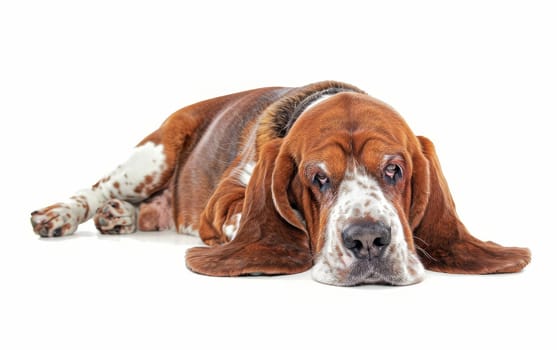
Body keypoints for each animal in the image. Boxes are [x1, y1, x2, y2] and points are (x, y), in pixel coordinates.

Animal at [29, 82, 528, 288]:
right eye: (317, 177)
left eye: (394, 170)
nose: (368, 240)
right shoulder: (222, 202)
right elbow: (239, 219)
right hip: (152, 156)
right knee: (97, 188)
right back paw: (60, 215)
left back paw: (122, 217)